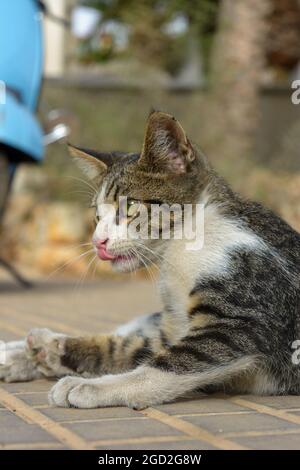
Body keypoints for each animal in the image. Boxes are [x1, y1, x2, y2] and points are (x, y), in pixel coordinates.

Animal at [0, 111, 300, 412]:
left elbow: (165, 364)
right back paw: (22, 350)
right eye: (97, 216)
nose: (98, 241)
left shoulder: (241, 323)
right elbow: (123, 349)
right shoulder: (172, 330)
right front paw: (51, 352)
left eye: (131, 206)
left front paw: (89, 386)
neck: (182, 247)